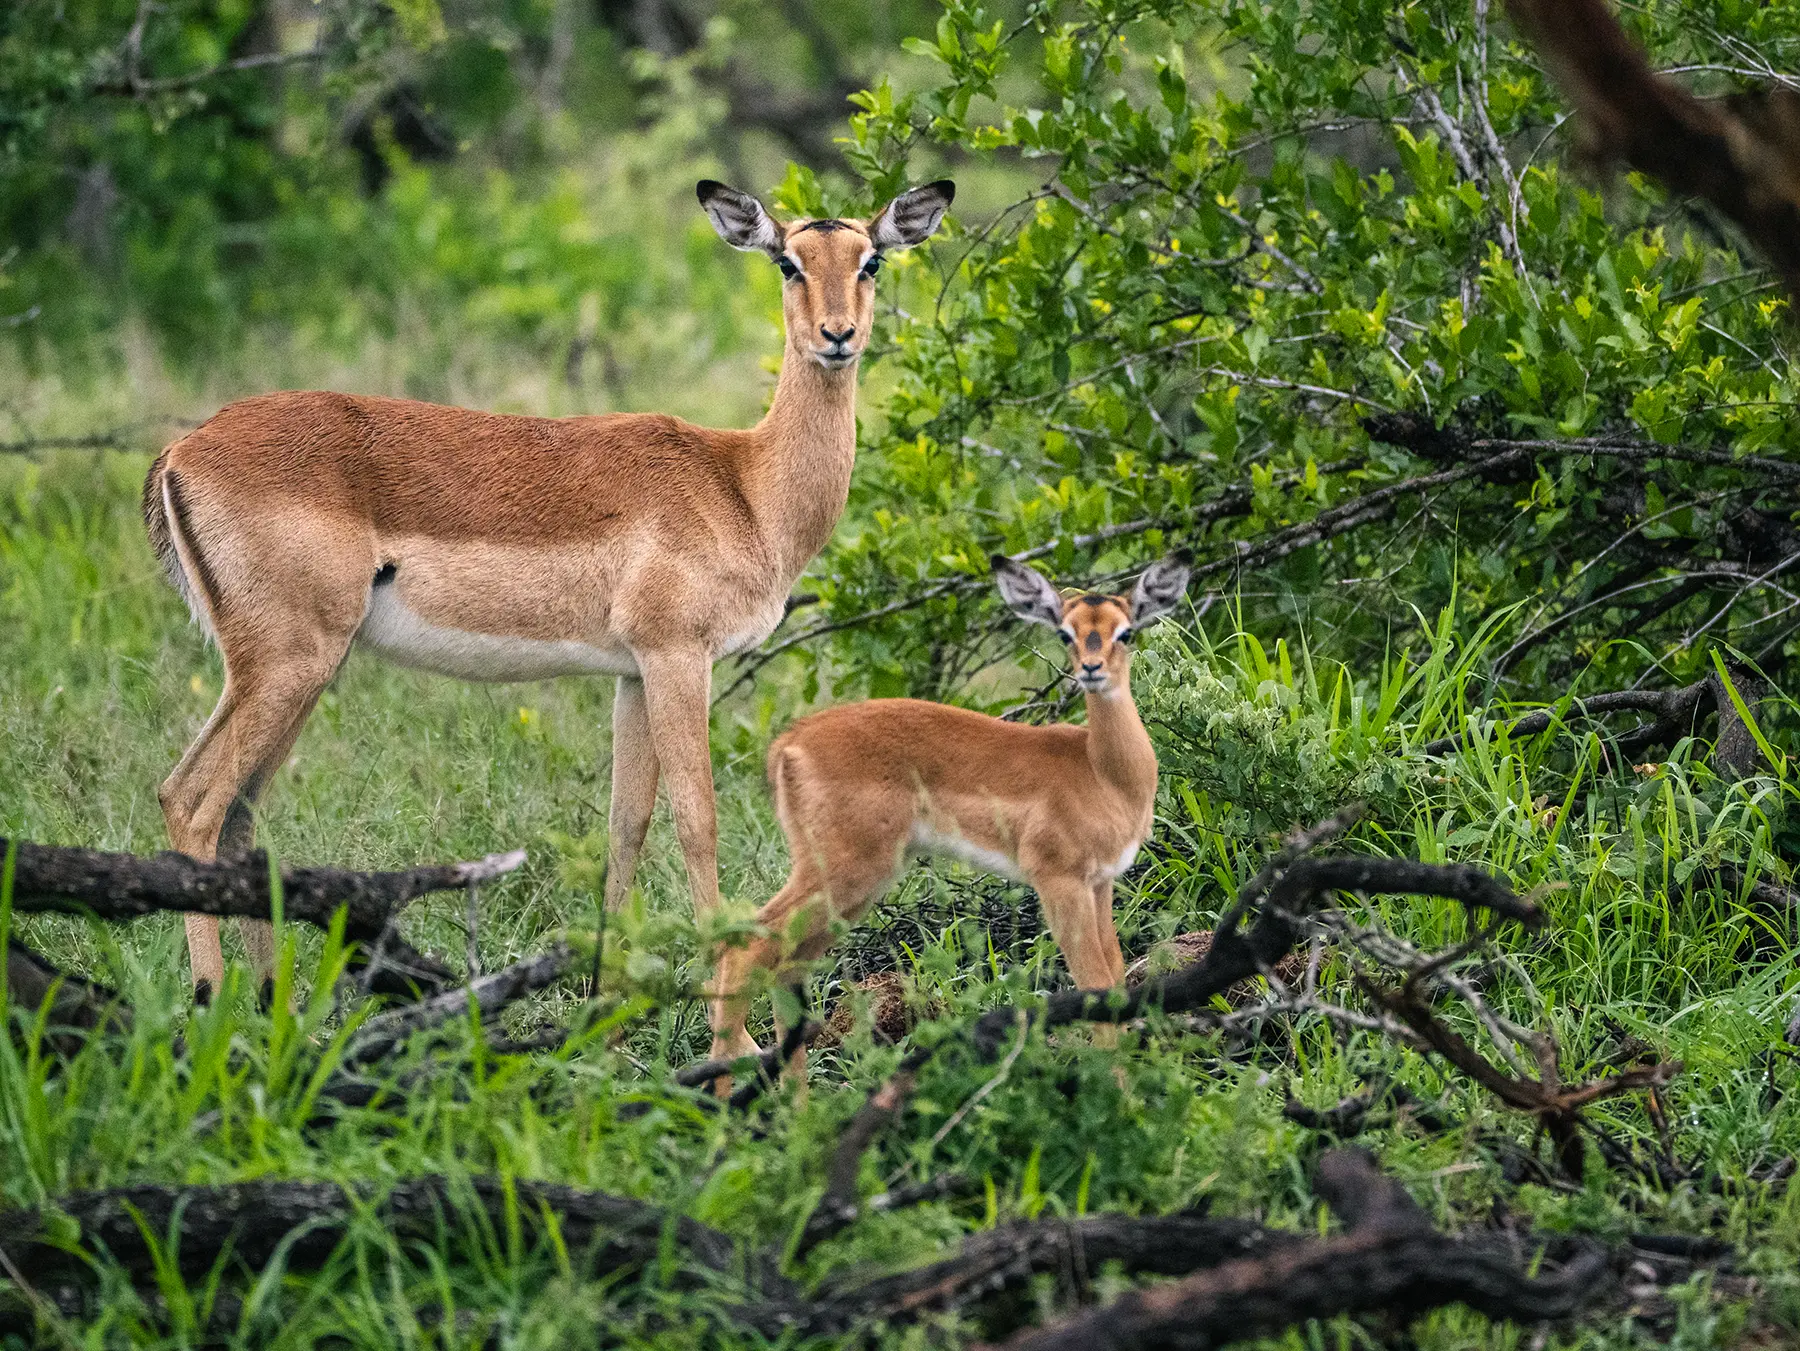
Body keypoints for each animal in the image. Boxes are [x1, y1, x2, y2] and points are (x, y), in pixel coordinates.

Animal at [143, 178, 955, 1000]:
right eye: (788, 261)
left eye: (872, 260)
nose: (837, 335)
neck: (744, 486)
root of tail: (182, 451)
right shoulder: (678, 656)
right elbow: (698, 818)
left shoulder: (634, 672)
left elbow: (626, 822)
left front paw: (608, 989)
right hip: (288, 662)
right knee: (193, 801)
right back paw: (209, 996)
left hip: (291, 672)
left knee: (237, 815)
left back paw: (267, 1001)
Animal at [707, 550, 1194, 1068]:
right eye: (1066, 632)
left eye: (1126, 631)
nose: (1091, 668)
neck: (1104, 774)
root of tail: (788, 744)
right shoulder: (1059, 881)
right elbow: (1095, 984)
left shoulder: (1100, 883)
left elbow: (1116, 981)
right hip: (843, 872)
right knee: (747, 947)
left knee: (783, 967)